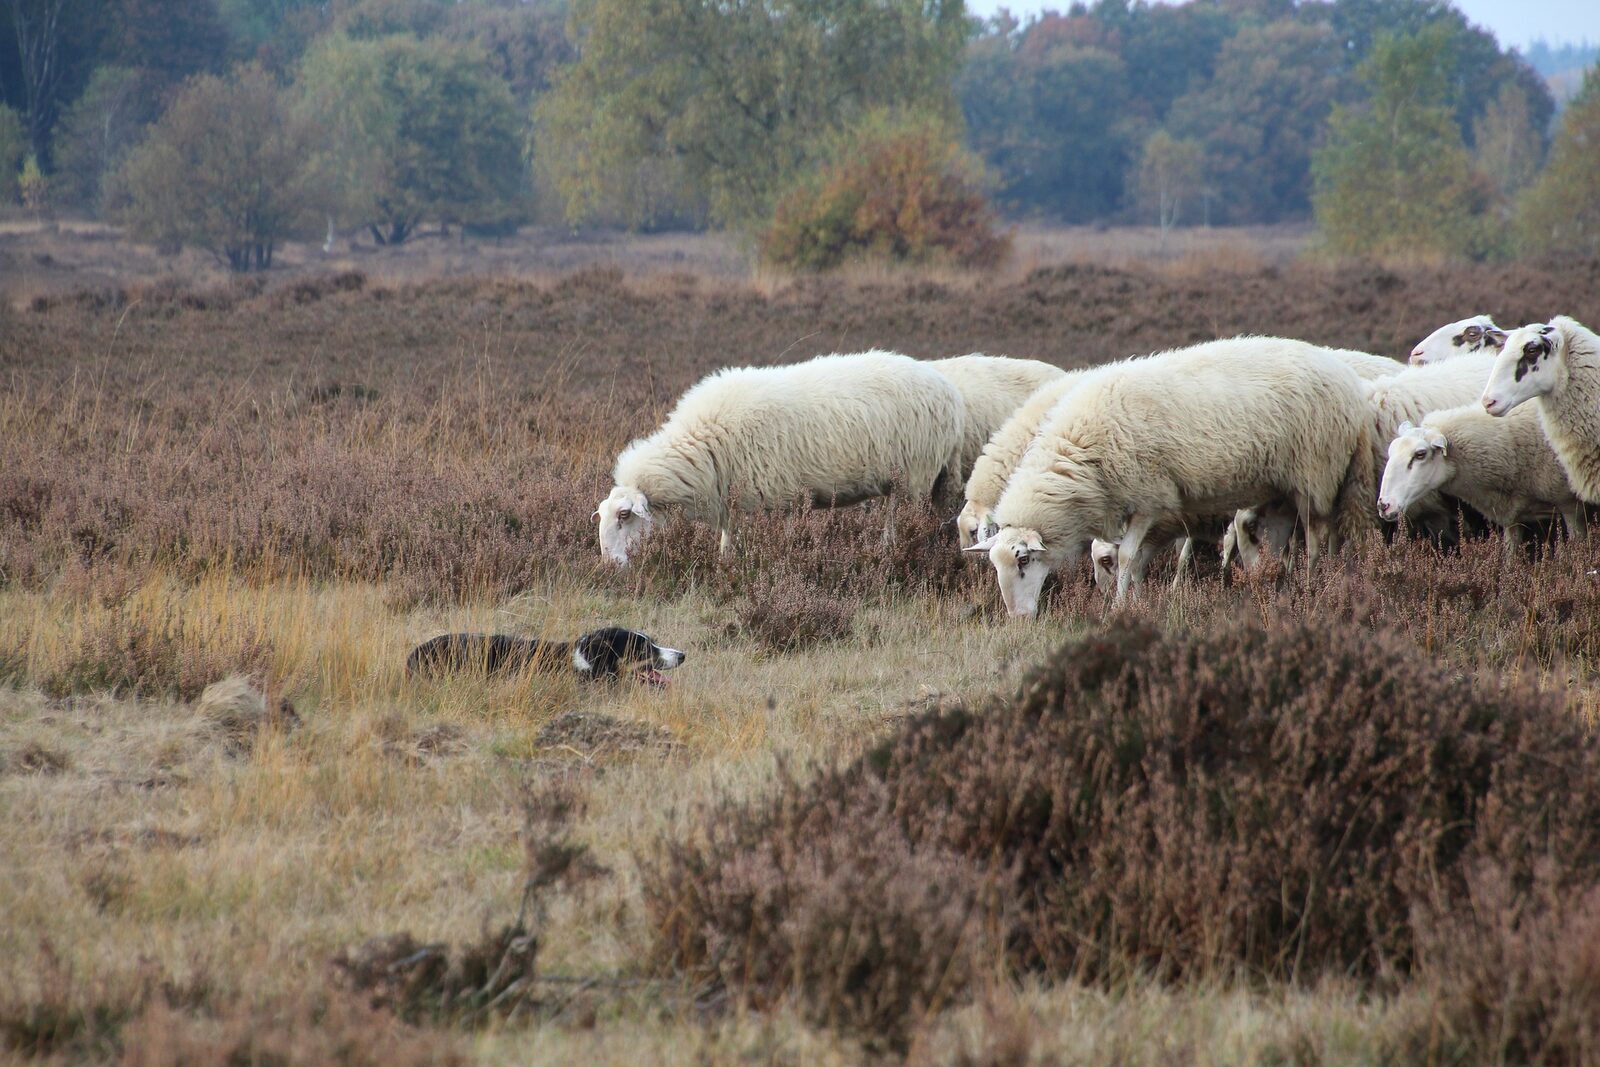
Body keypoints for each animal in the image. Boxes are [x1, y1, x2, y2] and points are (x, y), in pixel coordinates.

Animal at [592, 350, 953, 566]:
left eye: (624, 515)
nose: (609, 565)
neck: (704, 445)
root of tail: (943, 384)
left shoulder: (783, 496)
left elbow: (785, 541)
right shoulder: (732, 501)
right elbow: (727, 542)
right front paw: (725, 567)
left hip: (912, 477)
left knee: (898, 520)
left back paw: (889, 552)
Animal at [966, 337, 1369, 614]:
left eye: (1023, 560)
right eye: (995, 565)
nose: (1018, 618)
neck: (1082, 452)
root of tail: (1345, 375)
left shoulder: (1149, 498)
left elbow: (1128, 557)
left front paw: (1119, 607)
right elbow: (1135, 559)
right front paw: (1137, 599)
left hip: (1315, 472)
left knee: (1317, 536)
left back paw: (1314, 584)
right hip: (1280, 487)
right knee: (1279, 539)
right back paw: (1272, 586)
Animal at [1376, 406, 1587, 559]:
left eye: (1420, 454)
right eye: (1390, 451)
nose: (1384, 505)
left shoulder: (1570, 506)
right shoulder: (1513, 515)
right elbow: (1508, 561)